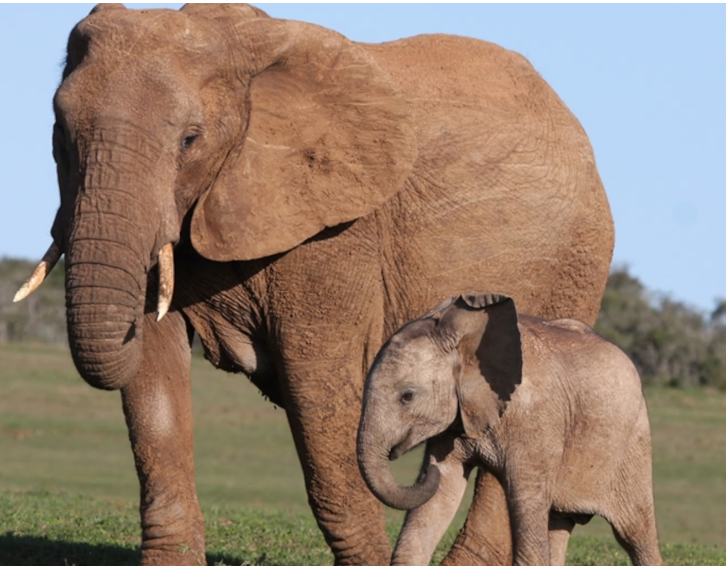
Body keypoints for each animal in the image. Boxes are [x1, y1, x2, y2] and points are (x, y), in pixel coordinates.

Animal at [18, 4, 616, 566]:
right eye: (59, 135)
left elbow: (319, 391)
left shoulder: (336, 232)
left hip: (574, 266)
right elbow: (153, 380)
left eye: (191, 139)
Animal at [358, 292, 664, 566]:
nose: (424, 471)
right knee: (559, 523)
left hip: (634, 442)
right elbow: (441, 491)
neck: (466, 341)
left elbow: (524, 502)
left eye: (407, 396)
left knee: (635, 533)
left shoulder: (534, 420)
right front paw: (438, 473)